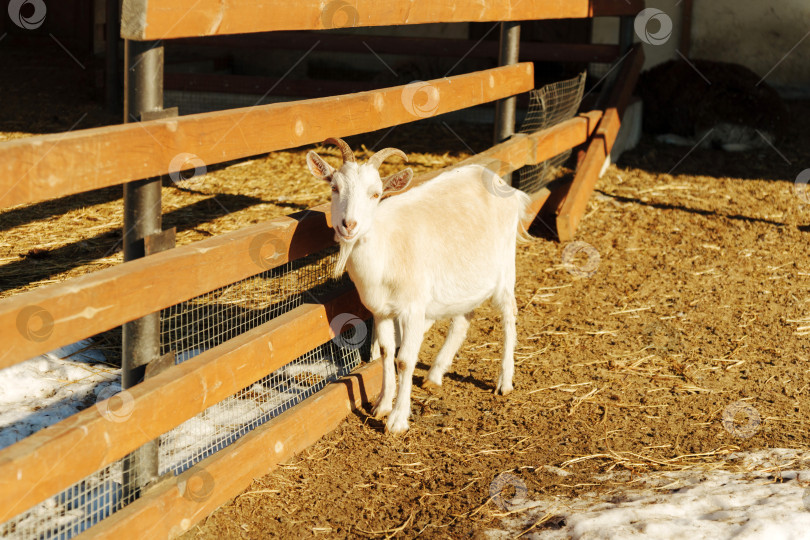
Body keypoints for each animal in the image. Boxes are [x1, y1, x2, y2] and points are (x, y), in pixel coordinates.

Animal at [306, 138, 531, 434]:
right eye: (335, 187)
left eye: (376, 194)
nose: (349, 225)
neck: (385, 247)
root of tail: (505, 186)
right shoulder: (381, 310)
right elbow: (386, 352)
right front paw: (381, 405)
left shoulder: (412, 309)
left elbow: (404, 359)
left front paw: (397, 420)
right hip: (464, 279)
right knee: (463, 318)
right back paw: (435, 374)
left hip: (505, 266)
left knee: (509, 315)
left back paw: (504, 382)